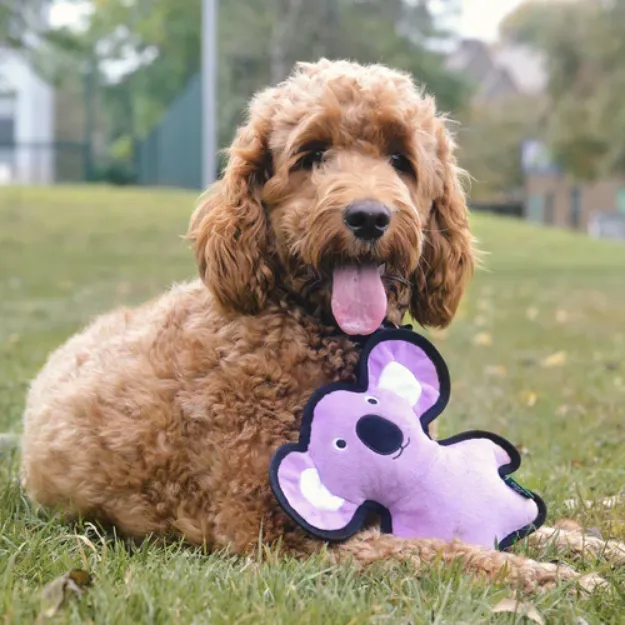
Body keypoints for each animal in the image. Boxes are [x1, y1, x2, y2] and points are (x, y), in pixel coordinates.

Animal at [18, 58, 616, 588]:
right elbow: (441, 552)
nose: (369, 216)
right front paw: (558, 580)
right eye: (313, 155)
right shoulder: (285, 537)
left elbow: (534, 529)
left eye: (400, 159)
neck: (314, 330)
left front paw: (596, 550)